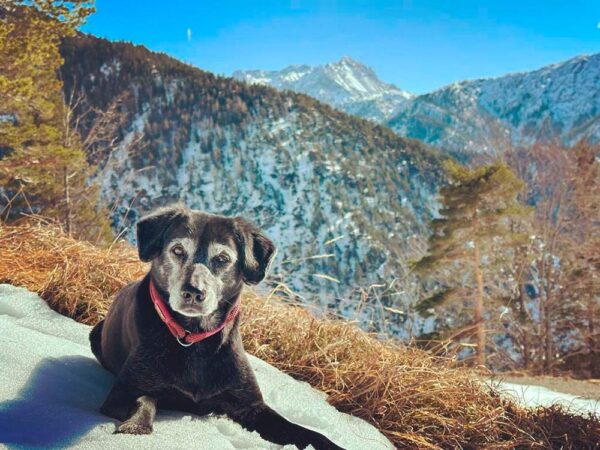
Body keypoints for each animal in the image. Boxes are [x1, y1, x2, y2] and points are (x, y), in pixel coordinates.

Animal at [88, 207, 342, 450]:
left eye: (222, 258)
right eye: (177, 250)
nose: (193, 292)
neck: (194, 338)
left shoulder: (251, 406)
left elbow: (307, 433)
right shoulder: (123, 392)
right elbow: (145, 400)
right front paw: (135, 426)